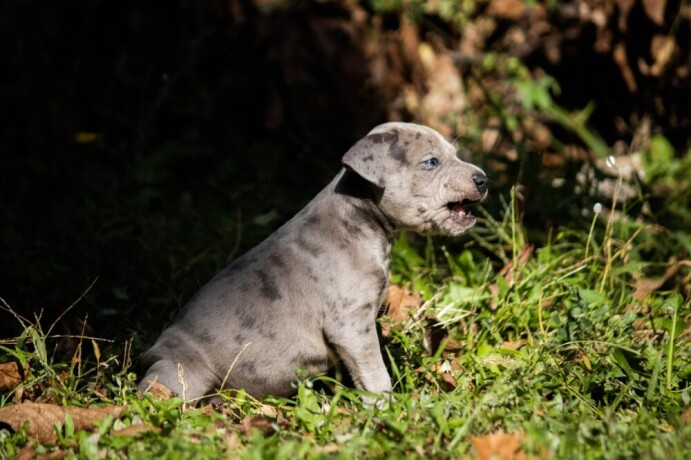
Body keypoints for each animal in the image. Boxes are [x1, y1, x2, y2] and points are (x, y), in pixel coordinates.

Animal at [141, 122, 486, 402]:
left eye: (454, 154)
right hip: (182, 373)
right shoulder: (350, 325)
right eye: (431, 162)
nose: (483, 178)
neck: (359, 217)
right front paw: (387, 408)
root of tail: (149, 354)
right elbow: (374, 373)